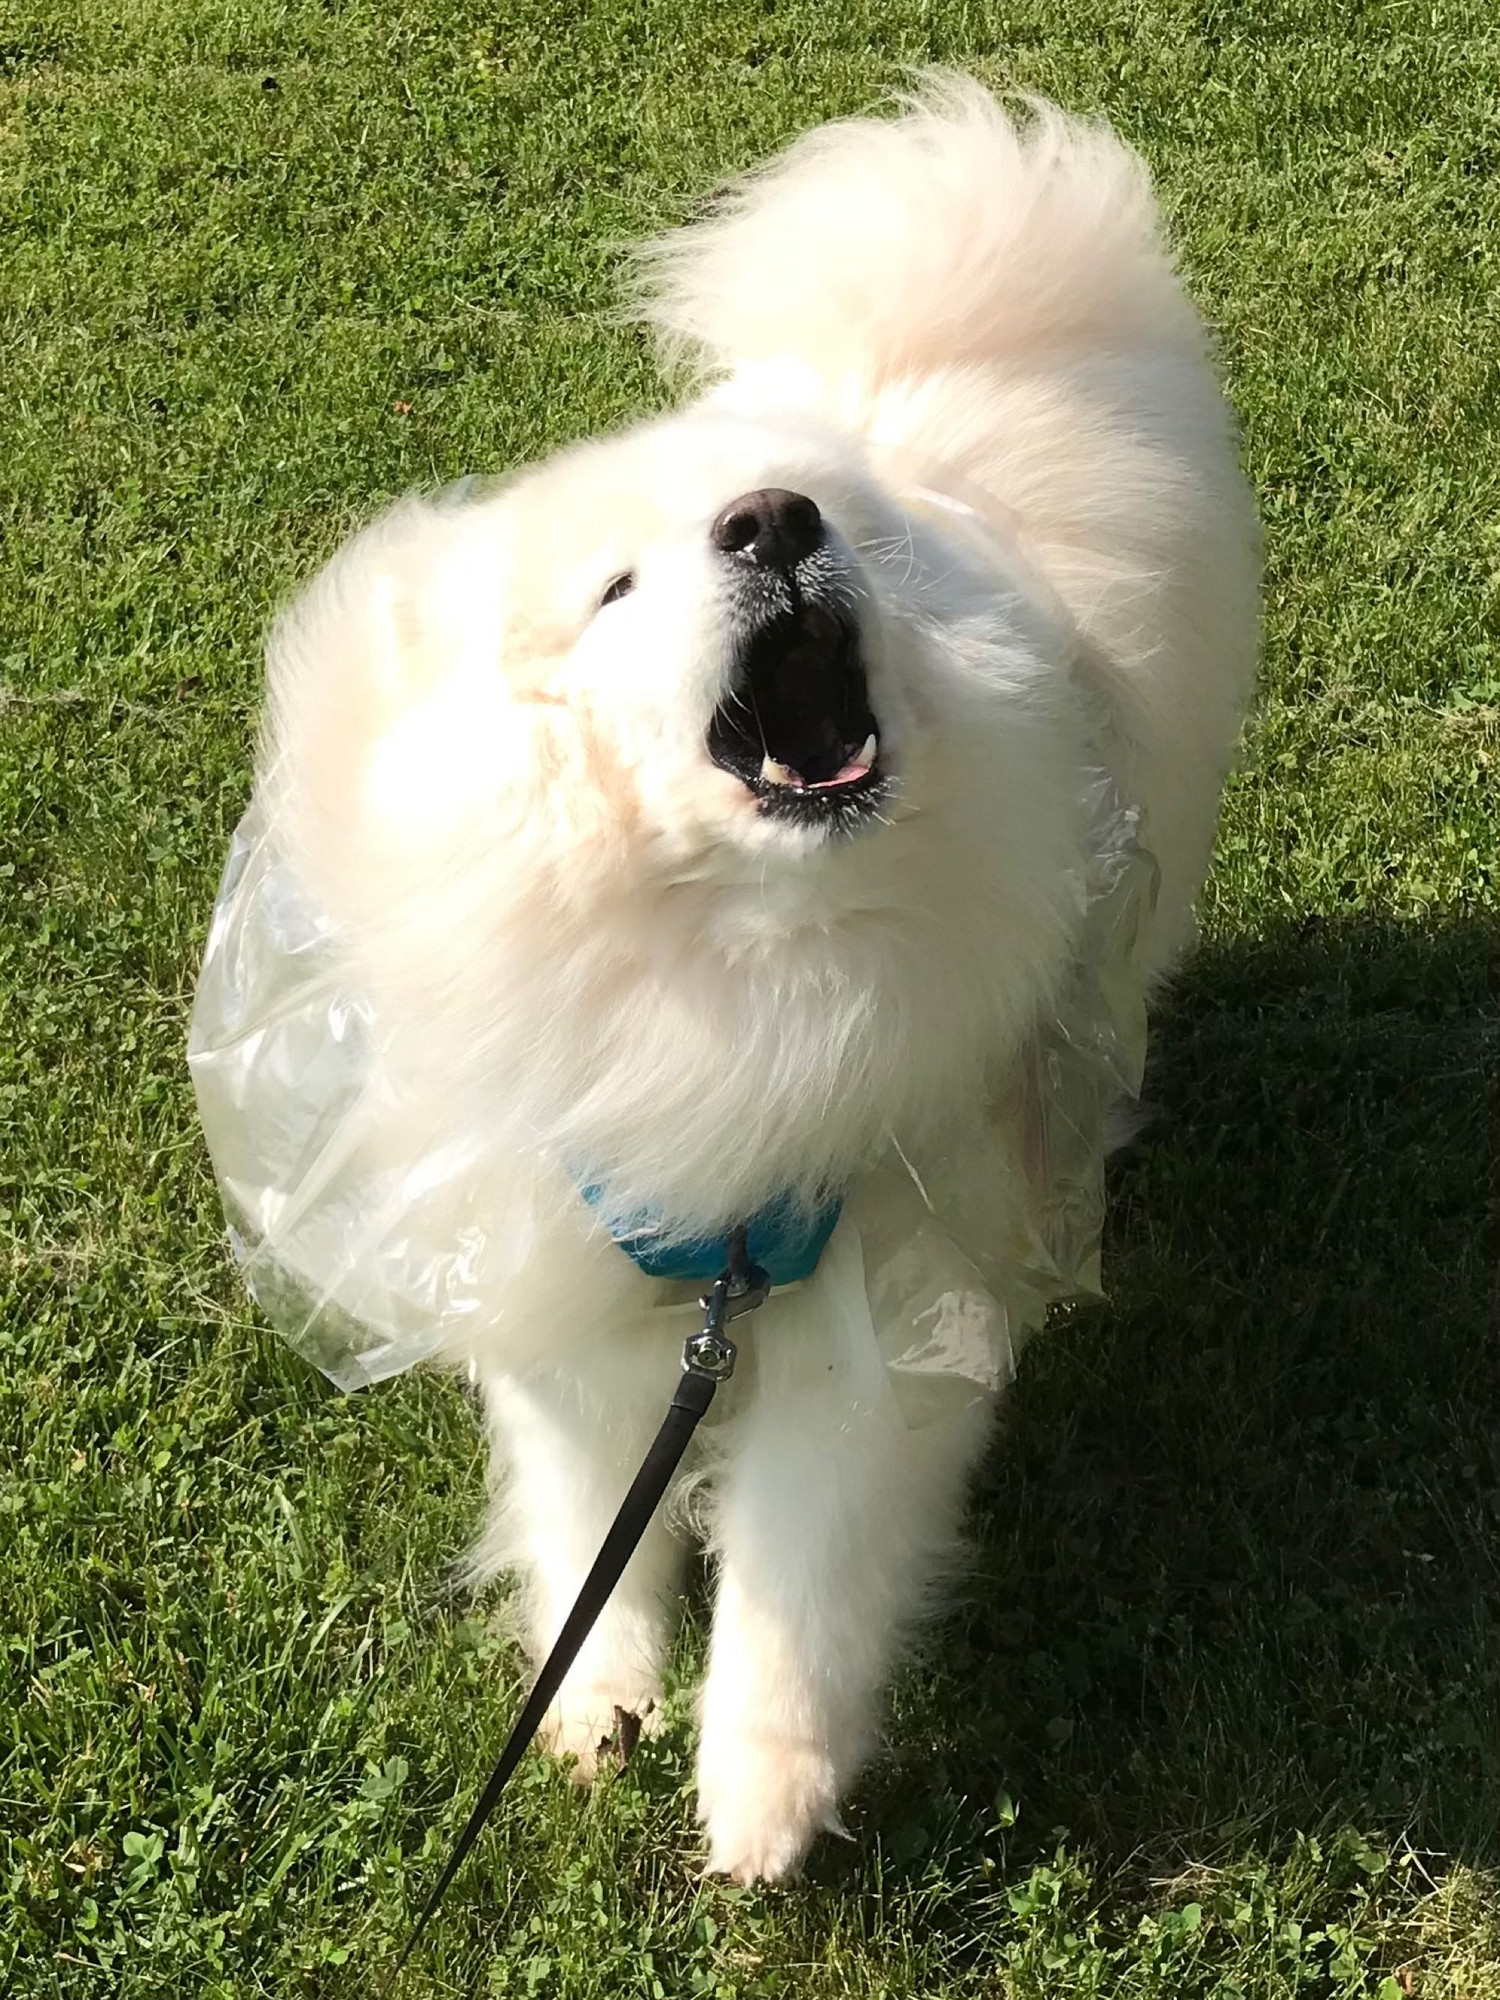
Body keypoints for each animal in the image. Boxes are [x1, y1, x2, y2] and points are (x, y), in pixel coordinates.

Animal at [258, 82, 1256, 1888]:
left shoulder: (884, 1303)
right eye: (614, 589)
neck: (733, 973)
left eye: (809, 525)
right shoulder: (563, 1258)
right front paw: (595, 1700)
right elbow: (591, 1513)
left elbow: (801, 1584)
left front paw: (761, 1798)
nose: (776, 521)